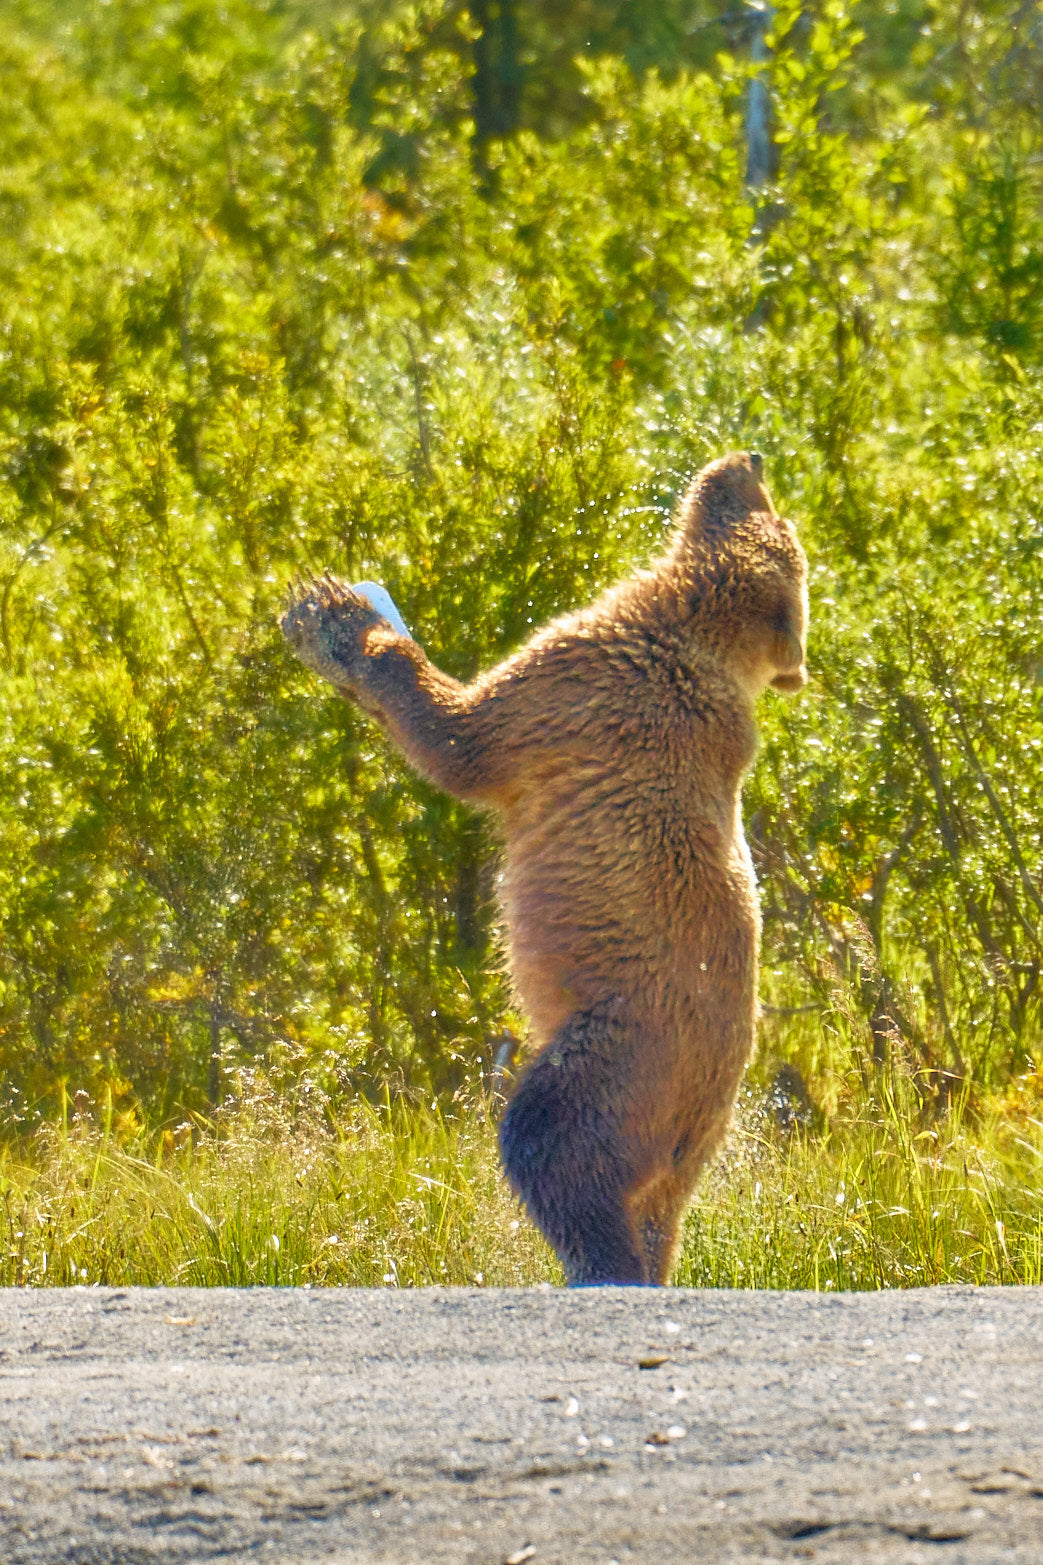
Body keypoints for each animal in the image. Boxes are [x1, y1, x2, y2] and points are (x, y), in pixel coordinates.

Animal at [281, 450, 808, 1285]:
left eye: (767, 509)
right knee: (654, 1214)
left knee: (549, 1145)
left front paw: (331, 614)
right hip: (688, 1138)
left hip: (620, 1055)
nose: (747, 458)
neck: (684, 631)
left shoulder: (577, 682)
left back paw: (593, 1262)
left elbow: (459, 738)